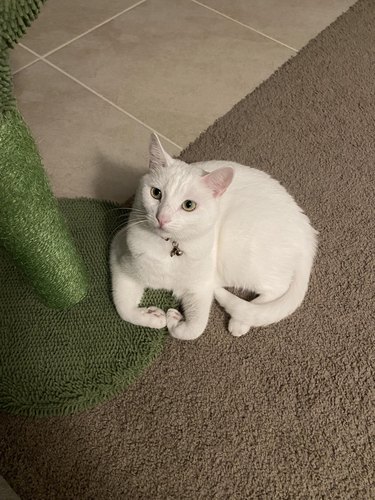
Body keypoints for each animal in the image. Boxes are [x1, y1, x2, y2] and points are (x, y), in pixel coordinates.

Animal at [111, 134, 318, 340]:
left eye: (188, 205)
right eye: (156, 193)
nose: (162, 217)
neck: (169, 249)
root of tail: (307, 232)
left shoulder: (201, 287)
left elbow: (195, 328)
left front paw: (175, 321)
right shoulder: (118, 255)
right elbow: (123, 309)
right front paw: (152, 316)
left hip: (242, 254)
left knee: (277, 289)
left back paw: (239, 321)